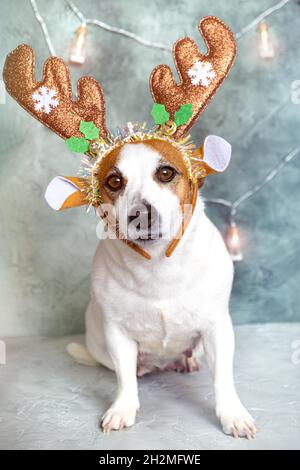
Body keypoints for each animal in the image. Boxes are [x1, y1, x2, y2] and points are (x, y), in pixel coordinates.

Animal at [2, 16, 255, 438]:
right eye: (114, 181)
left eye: (166, 173)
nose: (141, 214)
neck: (158, 267)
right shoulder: (118, 335)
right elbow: (123, 379)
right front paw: (122, 407)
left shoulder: (218, 327)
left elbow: (223, 378)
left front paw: (232, 414)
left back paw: (185, 360)